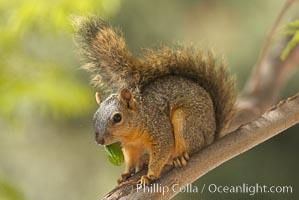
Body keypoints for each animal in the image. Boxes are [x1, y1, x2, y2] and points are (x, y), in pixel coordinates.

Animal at [72, 16, 237, 186]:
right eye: (95, 117)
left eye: (117, 118)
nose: (99, 140)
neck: (133, 131)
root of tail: (212, 134)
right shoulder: (130, 146)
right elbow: (131, 159)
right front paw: (126, 173)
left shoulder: (159, 128)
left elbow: (161, 151)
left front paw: (150, 176)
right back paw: (145, 159)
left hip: (186, 121)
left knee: (192, 144)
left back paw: (179, 156)